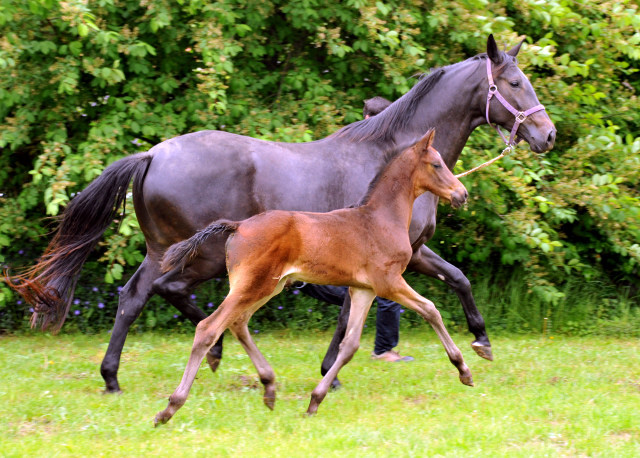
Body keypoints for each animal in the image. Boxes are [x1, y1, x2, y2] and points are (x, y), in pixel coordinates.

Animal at [154, 127, 472, 424]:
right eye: (436, 164)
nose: (462, 194)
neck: (380, 218)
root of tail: (238, 225)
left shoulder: (364, 289)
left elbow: (350, 345)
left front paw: (315, 400)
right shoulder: (389, 282)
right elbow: (431, 310)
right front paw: (463, 369)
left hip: (268, 287)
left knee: (238, 323)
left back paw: (269, 388)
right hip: (254, 286)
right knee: (209, 328)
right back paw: (170, 408)